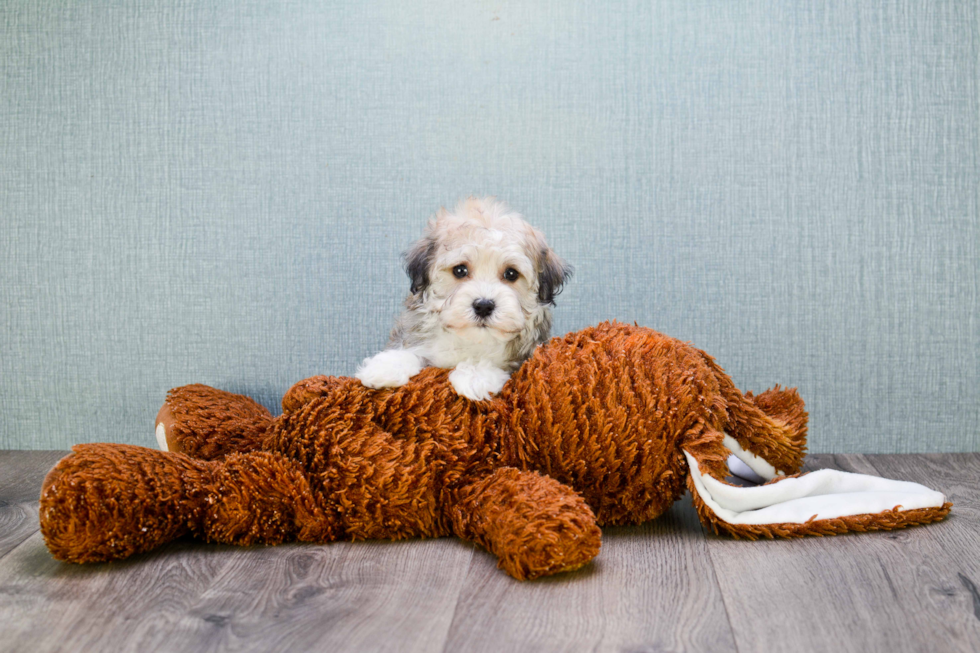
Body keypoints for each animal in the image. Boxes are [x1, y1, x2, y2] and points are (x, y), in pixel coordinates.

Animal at [356, 196, 572, 400]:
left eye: (511, 274)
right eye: (460, 270)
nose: (483, 306)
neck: (470, 339)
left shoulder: (525, 357)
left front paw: (475, 376)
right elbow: (408, 349)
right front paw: (386, 367)